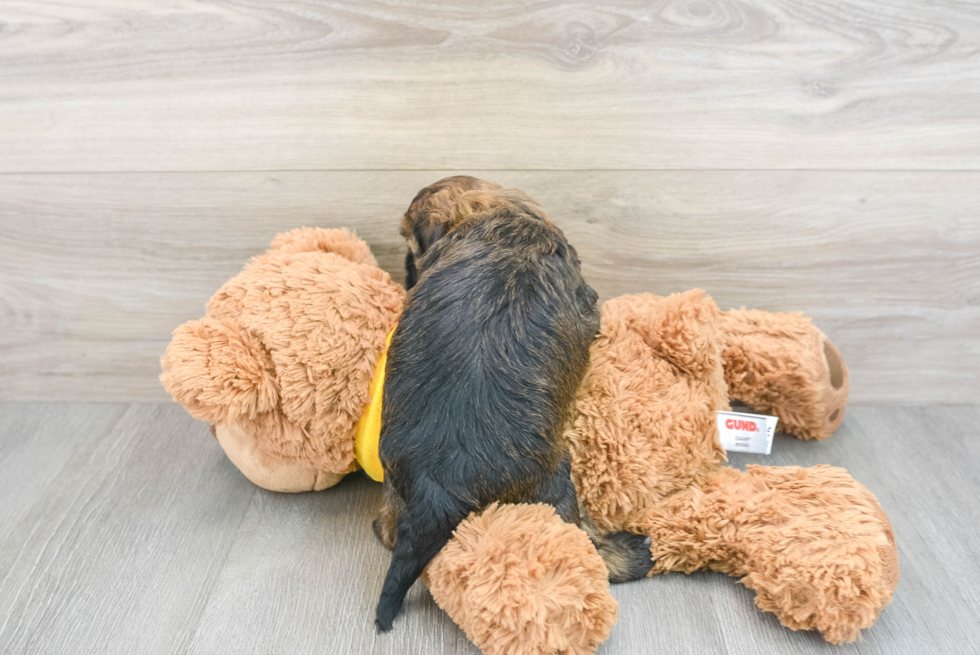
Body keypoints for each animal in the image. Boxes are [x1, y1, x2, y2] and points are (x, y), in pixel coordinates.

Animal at [372, 178, 656, 632]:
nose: (407, 274)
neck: (503, 220)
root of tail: (438, 486)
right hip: (556, 485)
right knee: (585, 542)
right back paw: (631, 554)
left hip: (395, 488)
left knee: (387, 529)